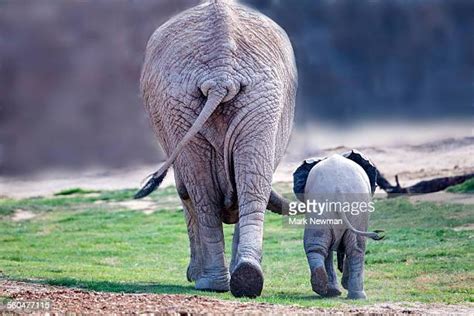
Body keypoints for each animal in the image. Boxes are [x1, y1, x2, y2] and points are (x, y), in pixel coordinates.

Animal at [134, 0, 296, 298]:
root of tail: (222, 74)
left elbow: (186, 193)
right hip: (243, 99)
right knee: (249, 186)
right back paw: (243, 279)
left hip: (206, 101)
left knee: (206, 191)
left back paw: (214, 283)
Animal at [294, 150, 384, 298]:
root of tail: (338, 191)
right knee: (356, 248)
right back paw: (353, 295)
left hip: (324, 209)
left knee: (317, 245)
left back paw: (328, 289)